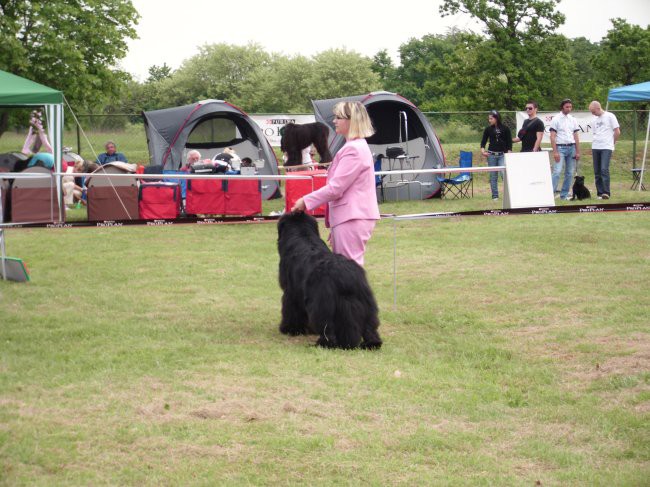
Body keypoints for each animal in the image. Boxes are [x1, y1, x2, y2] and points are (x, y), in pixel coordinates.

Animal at [278, 214, 380, 350]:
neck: (303, 236)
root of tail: (345, 275)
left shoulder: (291, 292)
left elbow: (291, 310)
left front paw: (291, 329)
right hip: (366, 301)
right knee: (370, 326)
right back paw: (372, 343)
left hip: (322, 304)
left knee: (327, 327)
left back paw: (324, 344)